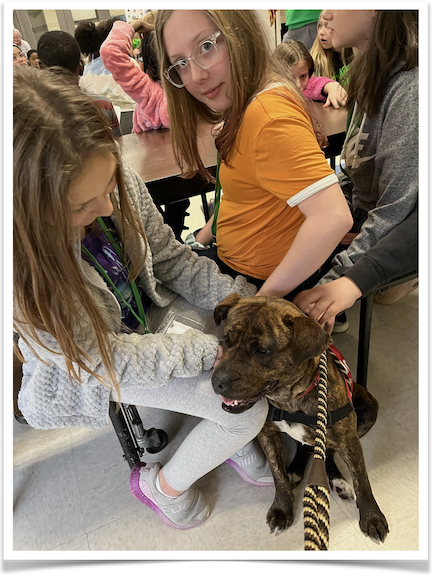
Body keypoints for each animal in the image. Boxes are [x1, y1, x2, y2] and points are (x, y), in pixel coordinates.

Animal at [213, 294, 388, 544]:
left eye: (262, 350)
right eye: (225, 339)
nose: (218, 382)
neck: (290, 400)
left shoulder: (349, 440)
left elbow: (362, 480)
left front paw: (372, 517)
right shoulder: (267, 434)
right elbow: (277, 475)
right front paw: (282, 508)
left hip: (368, 410)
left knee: (327, 452)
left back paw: (337, 481)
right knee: (306, 448)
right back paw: (296, 470)